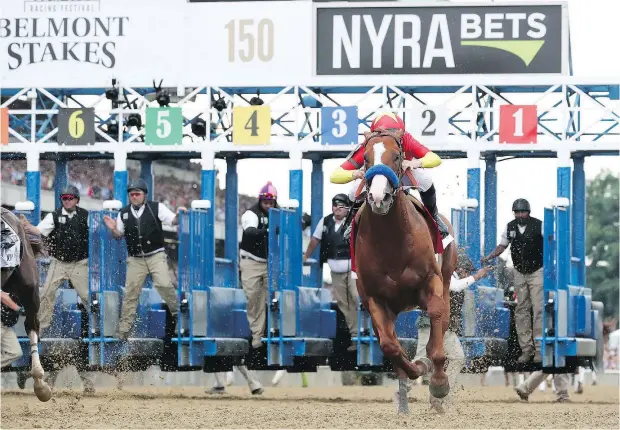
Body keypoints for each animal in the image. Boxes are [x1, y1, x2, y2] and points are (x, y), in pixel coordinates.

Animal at [352, 128, 458, 414]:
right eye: (364, 158)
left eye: (398, 156)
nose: (379, 198)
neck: (392, 240)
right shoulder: (374, 298)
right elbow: (390, 346)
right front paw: (415, 370)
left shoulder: (430, 281)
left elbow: (436, 318)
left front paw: (439, 381)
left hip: (446, 276)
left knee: (441, 320)